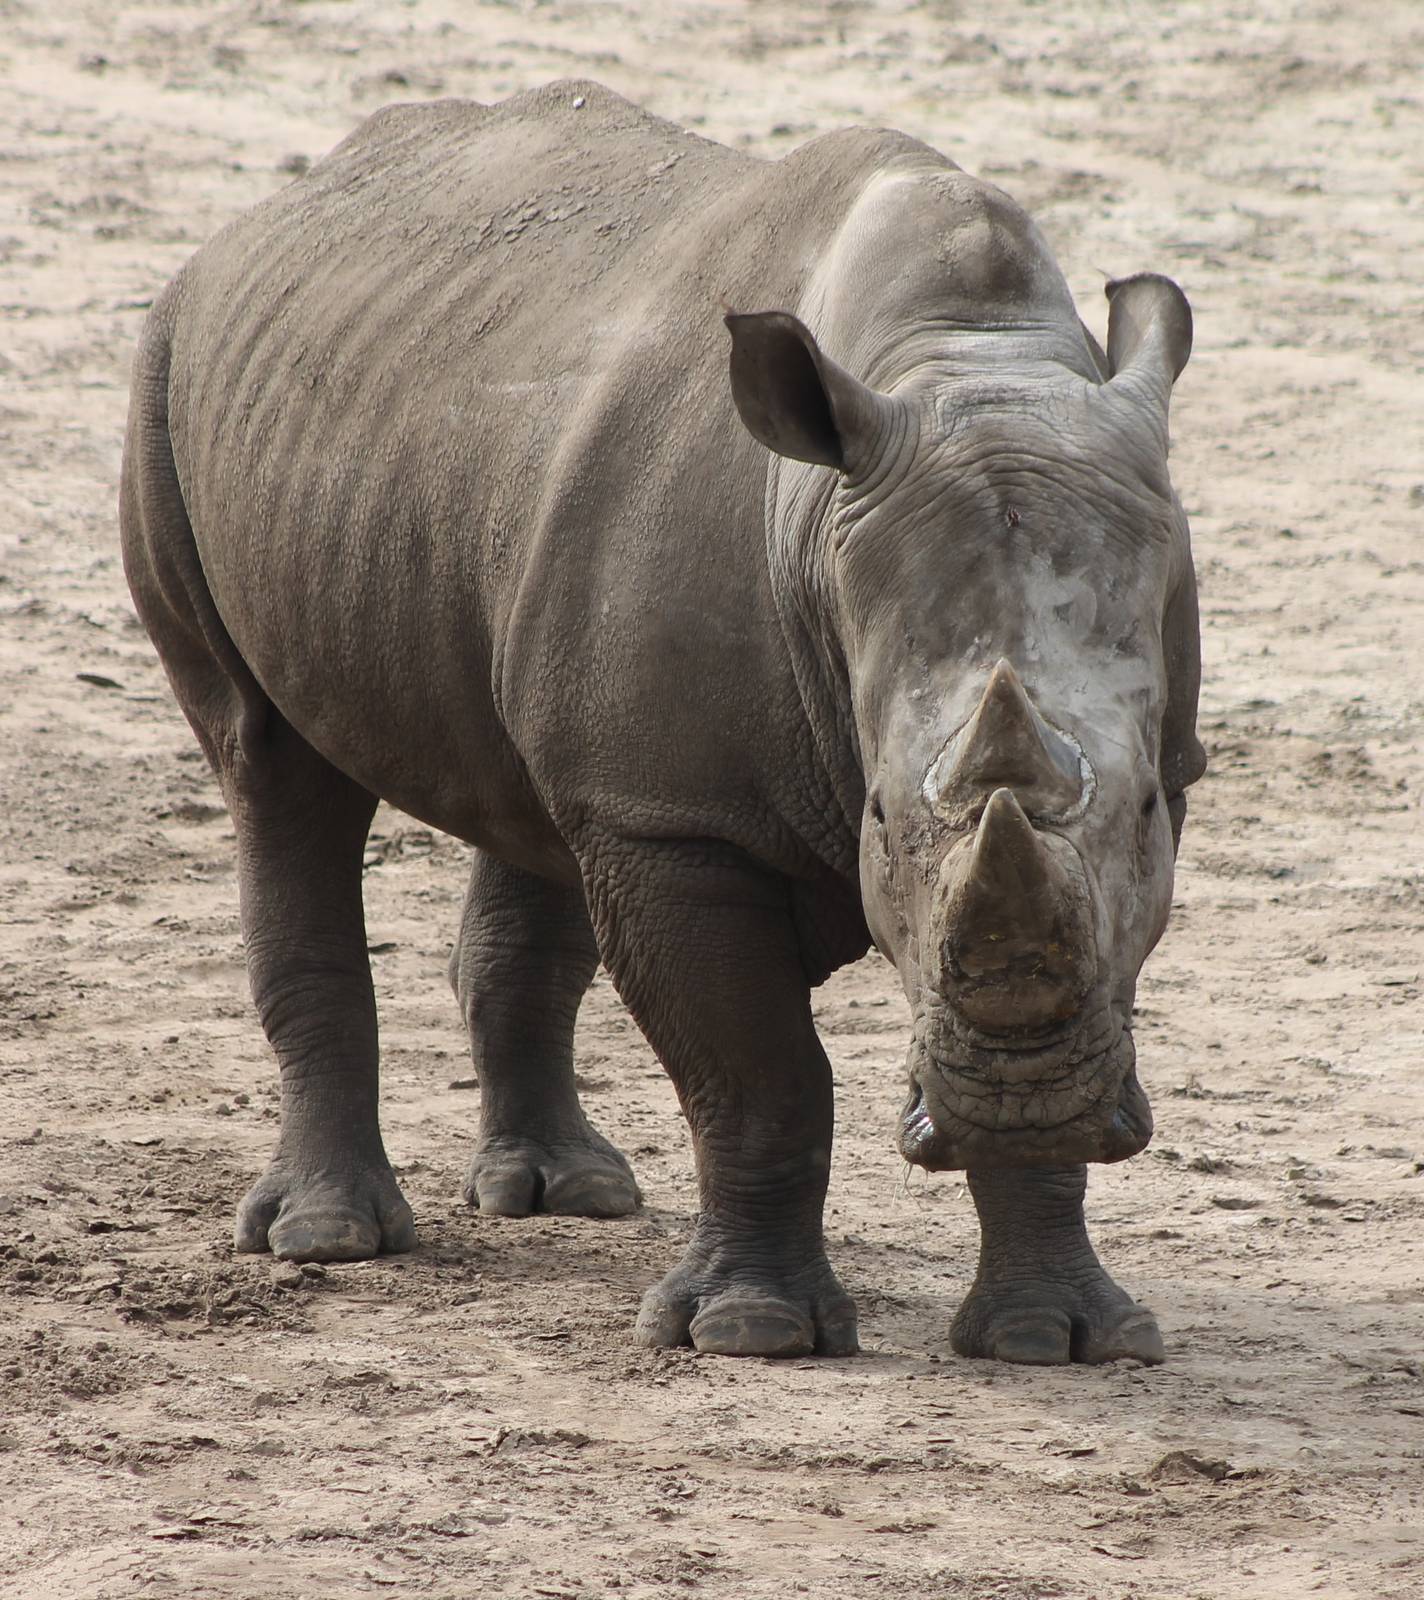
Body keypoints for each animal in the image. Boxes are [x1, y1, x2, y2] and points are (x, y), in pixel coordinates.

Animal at [121, 81, 1205, 1365]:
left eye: (1147, 810)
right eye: (878, 821)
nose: (1019, 1101)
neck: (966, 363)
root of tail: (270, 209)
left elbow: (1087, 973)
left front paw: (1060, 1332)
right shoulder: (676, 819)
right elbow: (757, 1077)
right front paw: (749, 1333)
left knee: (526, 800)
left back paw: (565, 1193)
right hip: (164, 371)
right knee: (273, 765)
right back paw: (327, 1238)